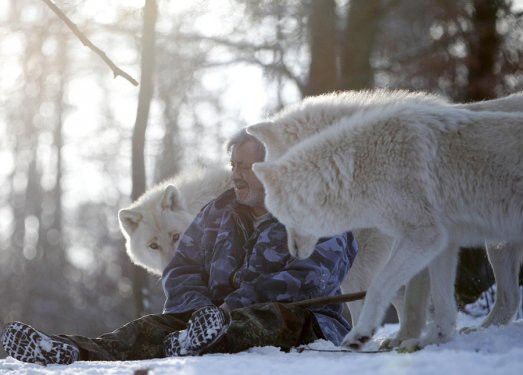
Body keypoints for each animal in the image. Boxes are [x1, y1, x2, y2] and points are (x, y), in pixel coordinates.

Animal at [247, 89, 523, 348]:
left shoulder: (405, 241)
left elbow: (388, 292)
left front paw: (381, 336)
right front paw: (404, 336)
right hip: (499, 244)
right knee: (510, 298)